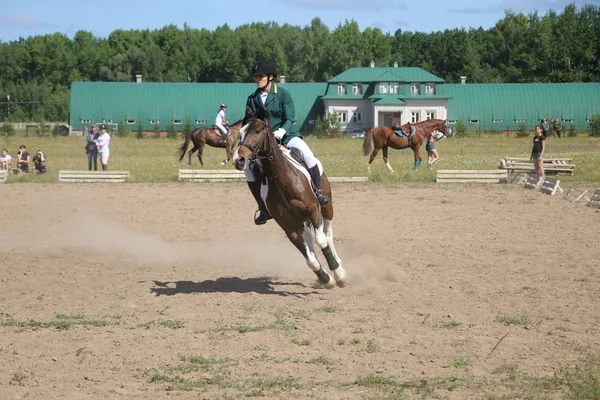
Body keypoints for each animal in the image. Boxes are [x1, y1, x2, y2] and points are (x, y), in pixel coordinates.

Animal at [232, 108, 350, 290]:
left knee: (327, 233)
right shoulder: (288, 226)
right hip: (299, 220)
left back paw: (339, 265)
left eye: (257, 131)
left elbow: (321, 240)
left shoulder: (313, 209)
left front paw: (339, 275)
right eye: (241, 133)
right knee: (309, 237)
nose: (239, 159)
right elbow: (309, 259)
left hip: (326, 207)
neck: (281, 178)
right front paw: (326, 279)